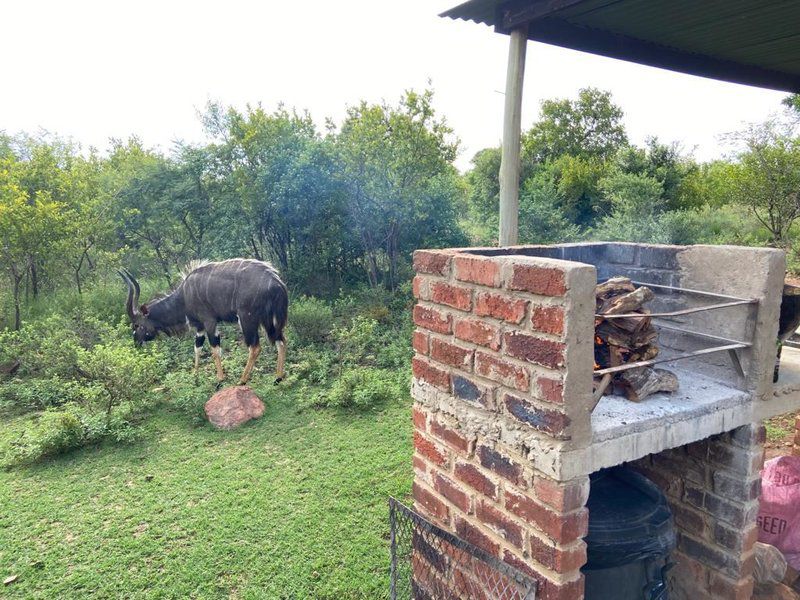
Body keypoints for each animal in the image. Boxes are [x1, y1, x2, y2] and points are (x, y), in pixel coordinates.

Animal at [120, 258, 290, 384]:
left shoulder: (209, 321)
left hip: (247, 319)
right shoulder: (199, 327)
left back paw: (242, 380)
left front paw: (220, 380)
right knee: (280, 340)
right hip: (268, 320)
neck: (184, 296)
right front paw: (195, 376)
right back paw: (278, 377)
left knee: (255, 347)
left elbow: (215, 349)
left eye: (136, 325)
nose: (136, 343)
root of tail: (277, 282)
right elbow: (197, 348)